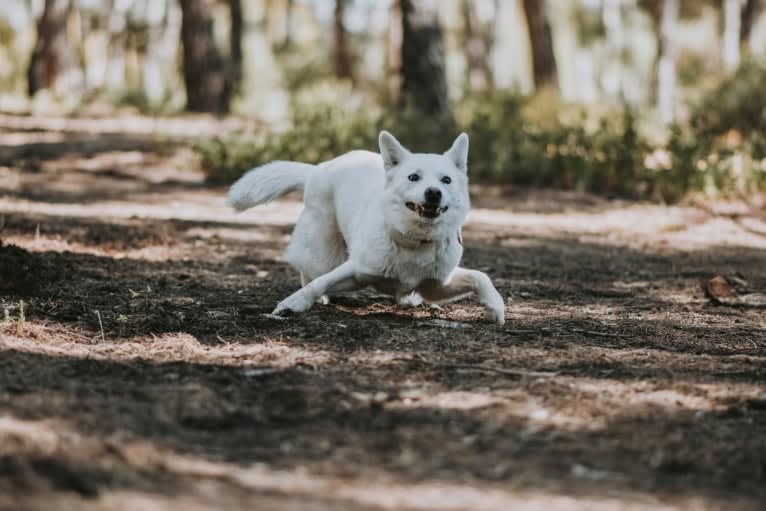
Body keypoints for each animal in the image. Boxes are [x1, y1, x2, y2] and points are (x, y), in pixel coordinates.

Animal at [228, 132, 504, 324]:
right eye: (413, 177)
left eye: (446, 180)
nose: (434, 193)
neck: (413, 243)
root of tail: (319, 168)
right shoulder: (358, 270)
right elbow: (319, 283)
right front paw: (293, 303)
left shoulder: (436, 286)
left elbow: (480, 276)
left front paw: (495, 306)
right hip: (323, 248)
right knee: (311, 272)